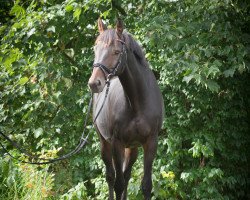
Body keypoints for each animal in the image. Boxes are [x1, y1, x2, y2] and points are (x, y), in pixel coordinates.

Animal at [88, 18, 164, 200]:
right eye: (95, 49)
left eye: (116, 51)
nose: (94, 83)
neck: (138, 102)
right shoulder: (117, 143)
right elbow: (118, 184)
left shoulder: (151, 142)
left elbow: (146, 185)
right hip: (105, 143)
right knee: (111, 176)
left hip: (133, 147)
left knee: (127, 175)